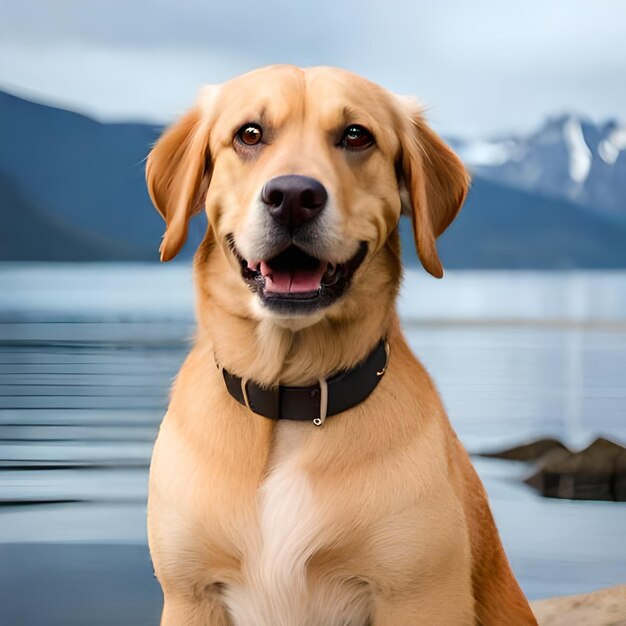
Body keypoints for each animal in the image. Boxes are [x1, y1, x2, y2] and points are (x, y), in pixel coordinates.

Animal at [144, 66, 532, 620]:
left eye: (356, 135)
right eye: (249, 134)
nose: (292, 196)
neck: (290, 407)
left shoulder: (418, 594)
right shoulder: (189, 594)